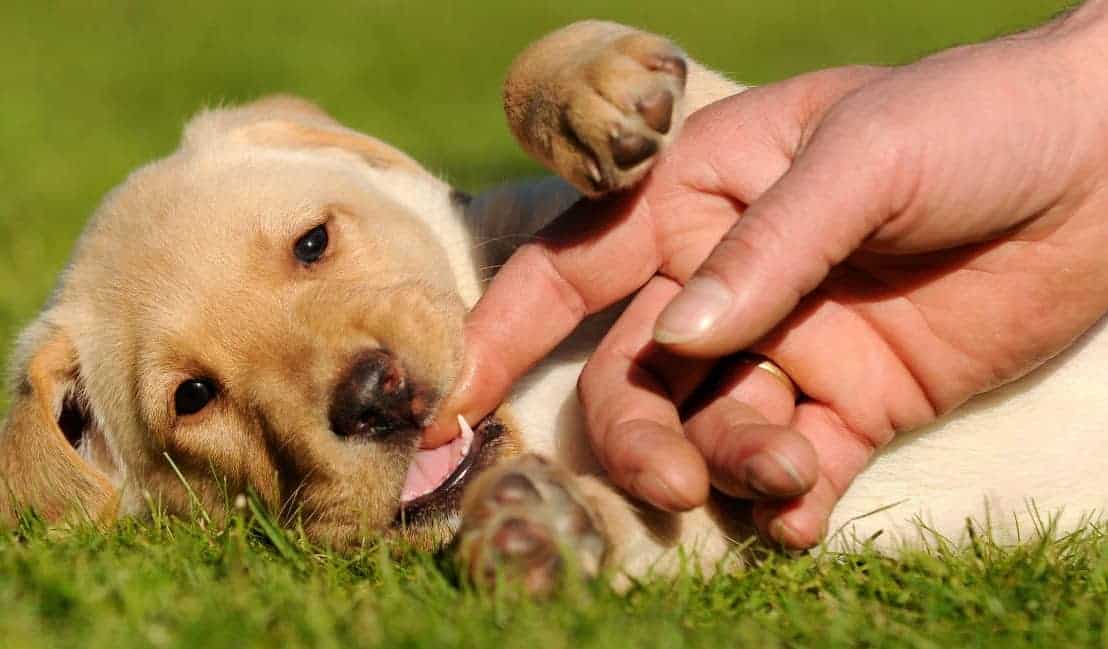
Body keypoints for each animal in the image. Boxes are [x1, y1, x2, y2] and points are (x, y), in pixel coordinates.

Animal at [2, 21, 1108, 589]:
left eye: (312, 242)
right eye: (193, 397)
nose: (372, 399)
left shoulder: (743, 149)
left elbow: (610, 86)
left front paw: (594, 88)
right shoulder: (732, 530)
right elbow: (649, 534)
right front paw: (541, 533)